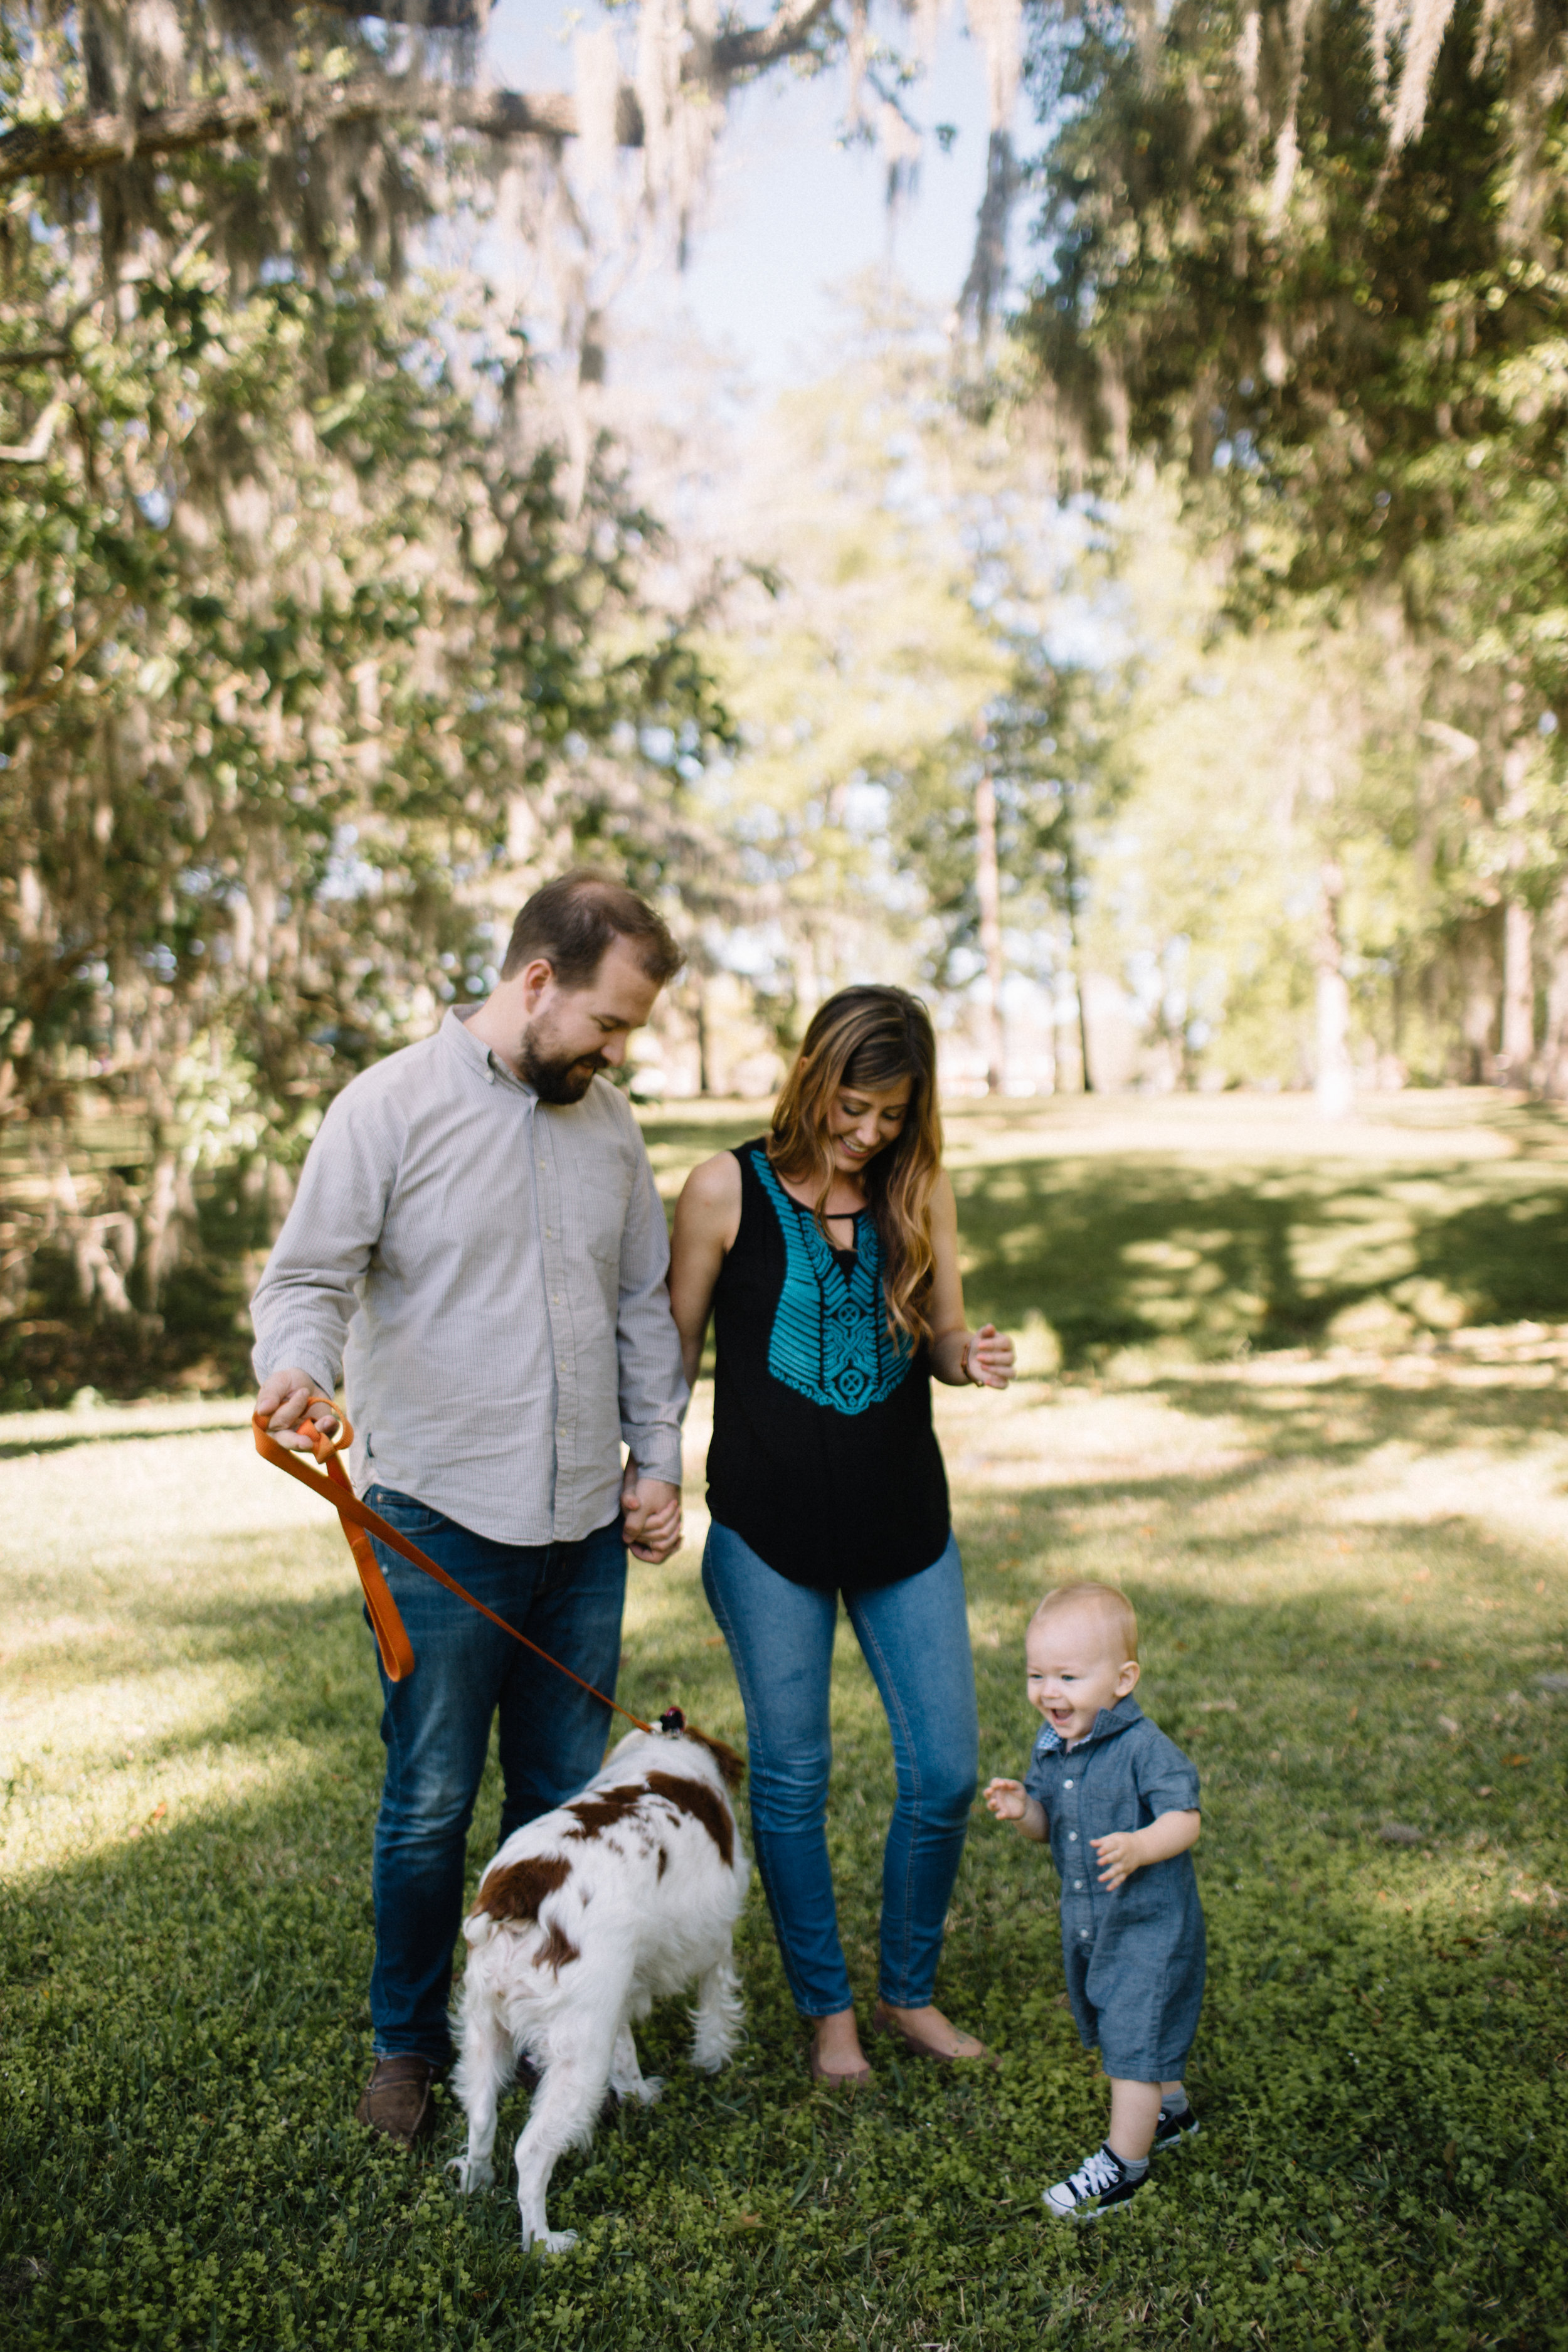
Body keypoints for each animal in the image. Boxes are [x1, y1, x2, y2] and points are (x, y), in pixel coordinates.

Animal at [451, 1722, 752, 2249]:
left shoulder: (615, 1991)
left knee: (482, 2115)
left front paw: (640, 2097)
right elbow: (715, 2012)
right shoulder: (715, 1941)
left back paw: (476, 2180)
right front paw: (712, 2064)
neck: (667, 1747)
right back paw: (545, 2244)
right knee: (531, 2153)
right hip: (578, 2059)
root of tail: (520, 1891)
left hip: (488, 2027)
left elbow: (627, 2054)